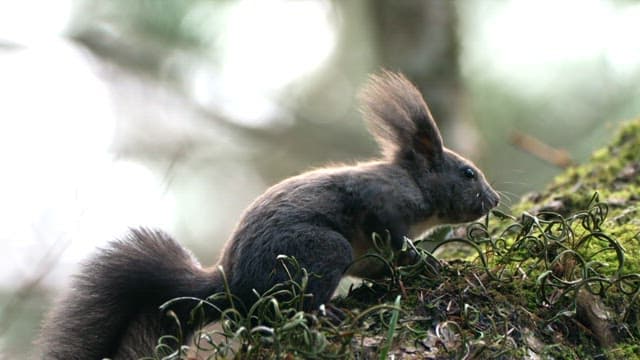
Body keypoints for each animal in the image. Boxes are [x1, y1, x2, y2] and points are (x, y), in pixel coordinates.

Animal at [38, 71, 500, 358]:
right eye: (467, 173)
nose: (494, 200)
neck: (415, 185)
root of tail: (230, 286)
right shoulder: (381, 202)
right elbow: (395, 237)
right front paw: (427, 261)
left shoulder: (369, 253)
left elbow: (380, 265)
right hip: (319, 250)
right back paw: (322, 312)